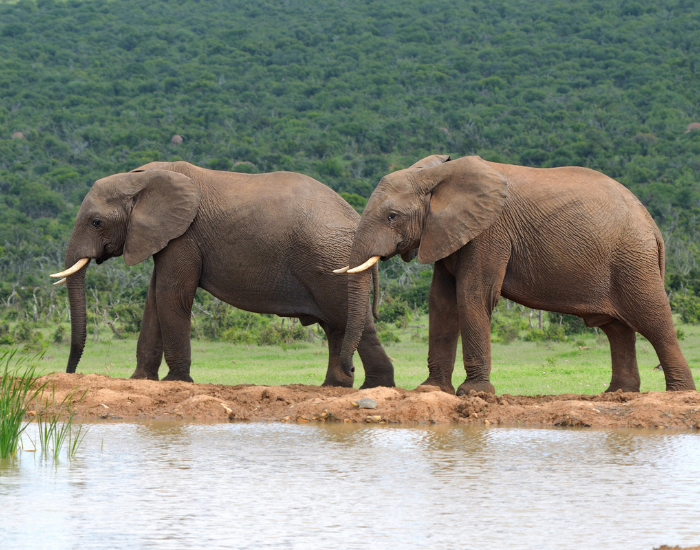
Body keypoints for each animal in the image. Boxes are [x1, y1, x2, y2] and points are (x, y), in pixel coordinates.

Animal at [50, 161, 395, 388]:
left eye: (96, 222)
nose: (69, 374)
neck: (140, 178)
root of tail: (355, 218)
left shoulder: (184, 235)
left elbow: (171, 296)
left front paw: (176, 382)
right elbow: (154, 299)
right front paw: (140, 380)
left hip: (328, 261)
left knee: (351, 320)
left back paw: (375, 387)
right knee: (337, 325)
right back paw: (336, 386)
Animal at [334, 154, 696, 395]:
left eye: (392, 216)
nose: (349, 369)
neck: (438, 174)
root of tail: (654, 228)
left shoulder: (489, 232)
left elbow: (472, 295)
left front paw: (473, 393)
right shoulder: (447, 232)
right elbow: (441, 302)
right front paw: (431, 390)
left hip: (633, 259)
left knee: (654, 320)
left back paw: (679, 393)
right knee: (617, 329)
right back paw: (617, 394)